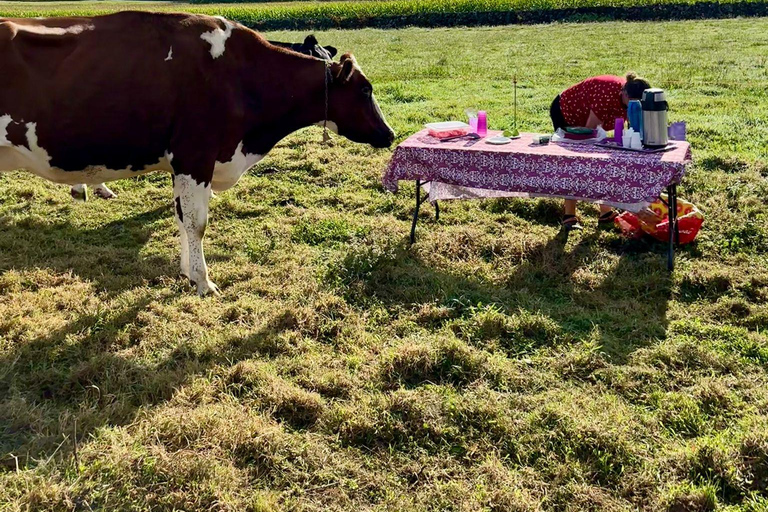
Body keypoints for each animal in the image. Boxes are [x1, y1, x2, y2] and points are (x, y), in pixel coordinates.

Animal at [0, 11, 392, 296]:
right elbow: (196, 222)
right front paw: (203, 282)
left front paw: (188, 272)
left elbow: (181, 218)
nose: (388, 134)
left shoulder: (185, 164)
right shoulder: (195, 156)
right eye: (365, 89)